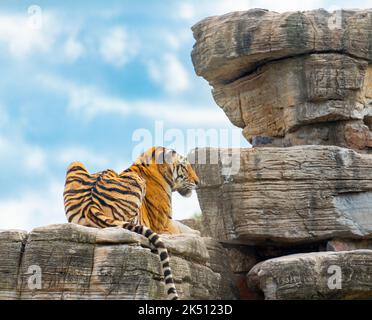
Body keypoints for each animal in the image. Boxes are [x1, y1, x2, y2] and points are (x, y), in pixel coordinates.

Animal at [63, 147, 201, 300]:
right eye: (185, 166)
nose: (198, 182)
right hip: (135, 182)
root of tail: (90, 205)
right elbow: (184, 228)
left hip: (75, 163)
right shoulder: (164, 222)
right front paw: (197, 233)